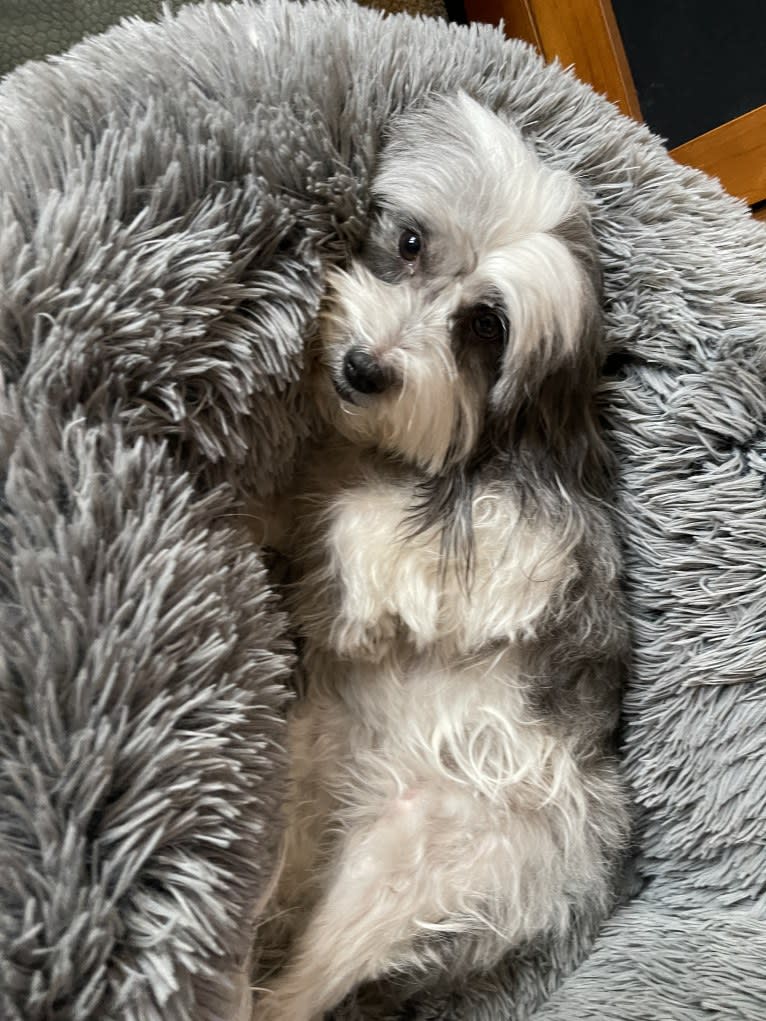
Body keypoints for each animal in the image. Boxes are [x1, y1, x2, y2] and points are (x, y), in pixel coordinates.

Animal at [252, 93, 629, 1021]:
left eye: (486, 325)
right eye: (411, 241)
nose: (363, 368)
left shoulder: (535, 547)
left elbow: (377, 526)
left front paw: (359, 604)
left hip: (407, 866)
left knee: (287, 995)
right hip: (290, 792)